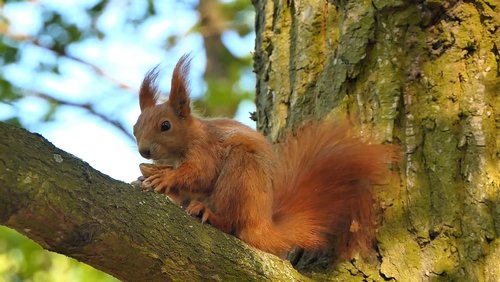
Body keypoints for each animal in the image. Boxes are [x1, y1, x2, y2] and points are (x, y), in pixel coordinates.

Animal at [133, 54, 398, 258]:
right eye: (135, 128)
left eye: (165, 126)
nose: (144, 151)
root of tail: (262, 225)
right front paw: (147, 178)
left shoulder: (204, 148)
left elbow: (201, 174)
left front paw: (166, 178)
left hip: (240, 176)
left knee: (233, 224)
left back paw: (209, 214)